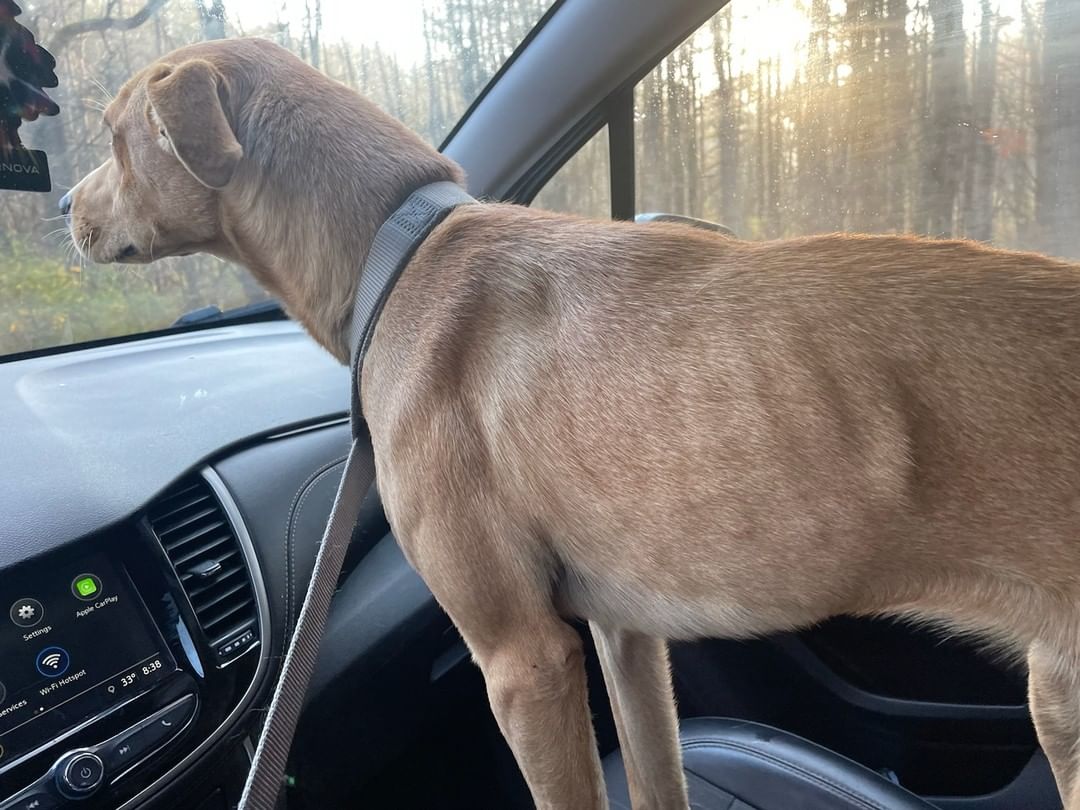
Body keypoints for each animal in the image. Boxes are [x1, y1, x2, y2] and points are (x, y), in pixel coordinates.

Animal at [65, 38, 1080, 810]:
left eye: (113, 137)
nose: (66, 206)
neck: (399, 245)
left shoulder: (524, 661)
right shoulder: (626, 635)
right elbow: (658, 778)